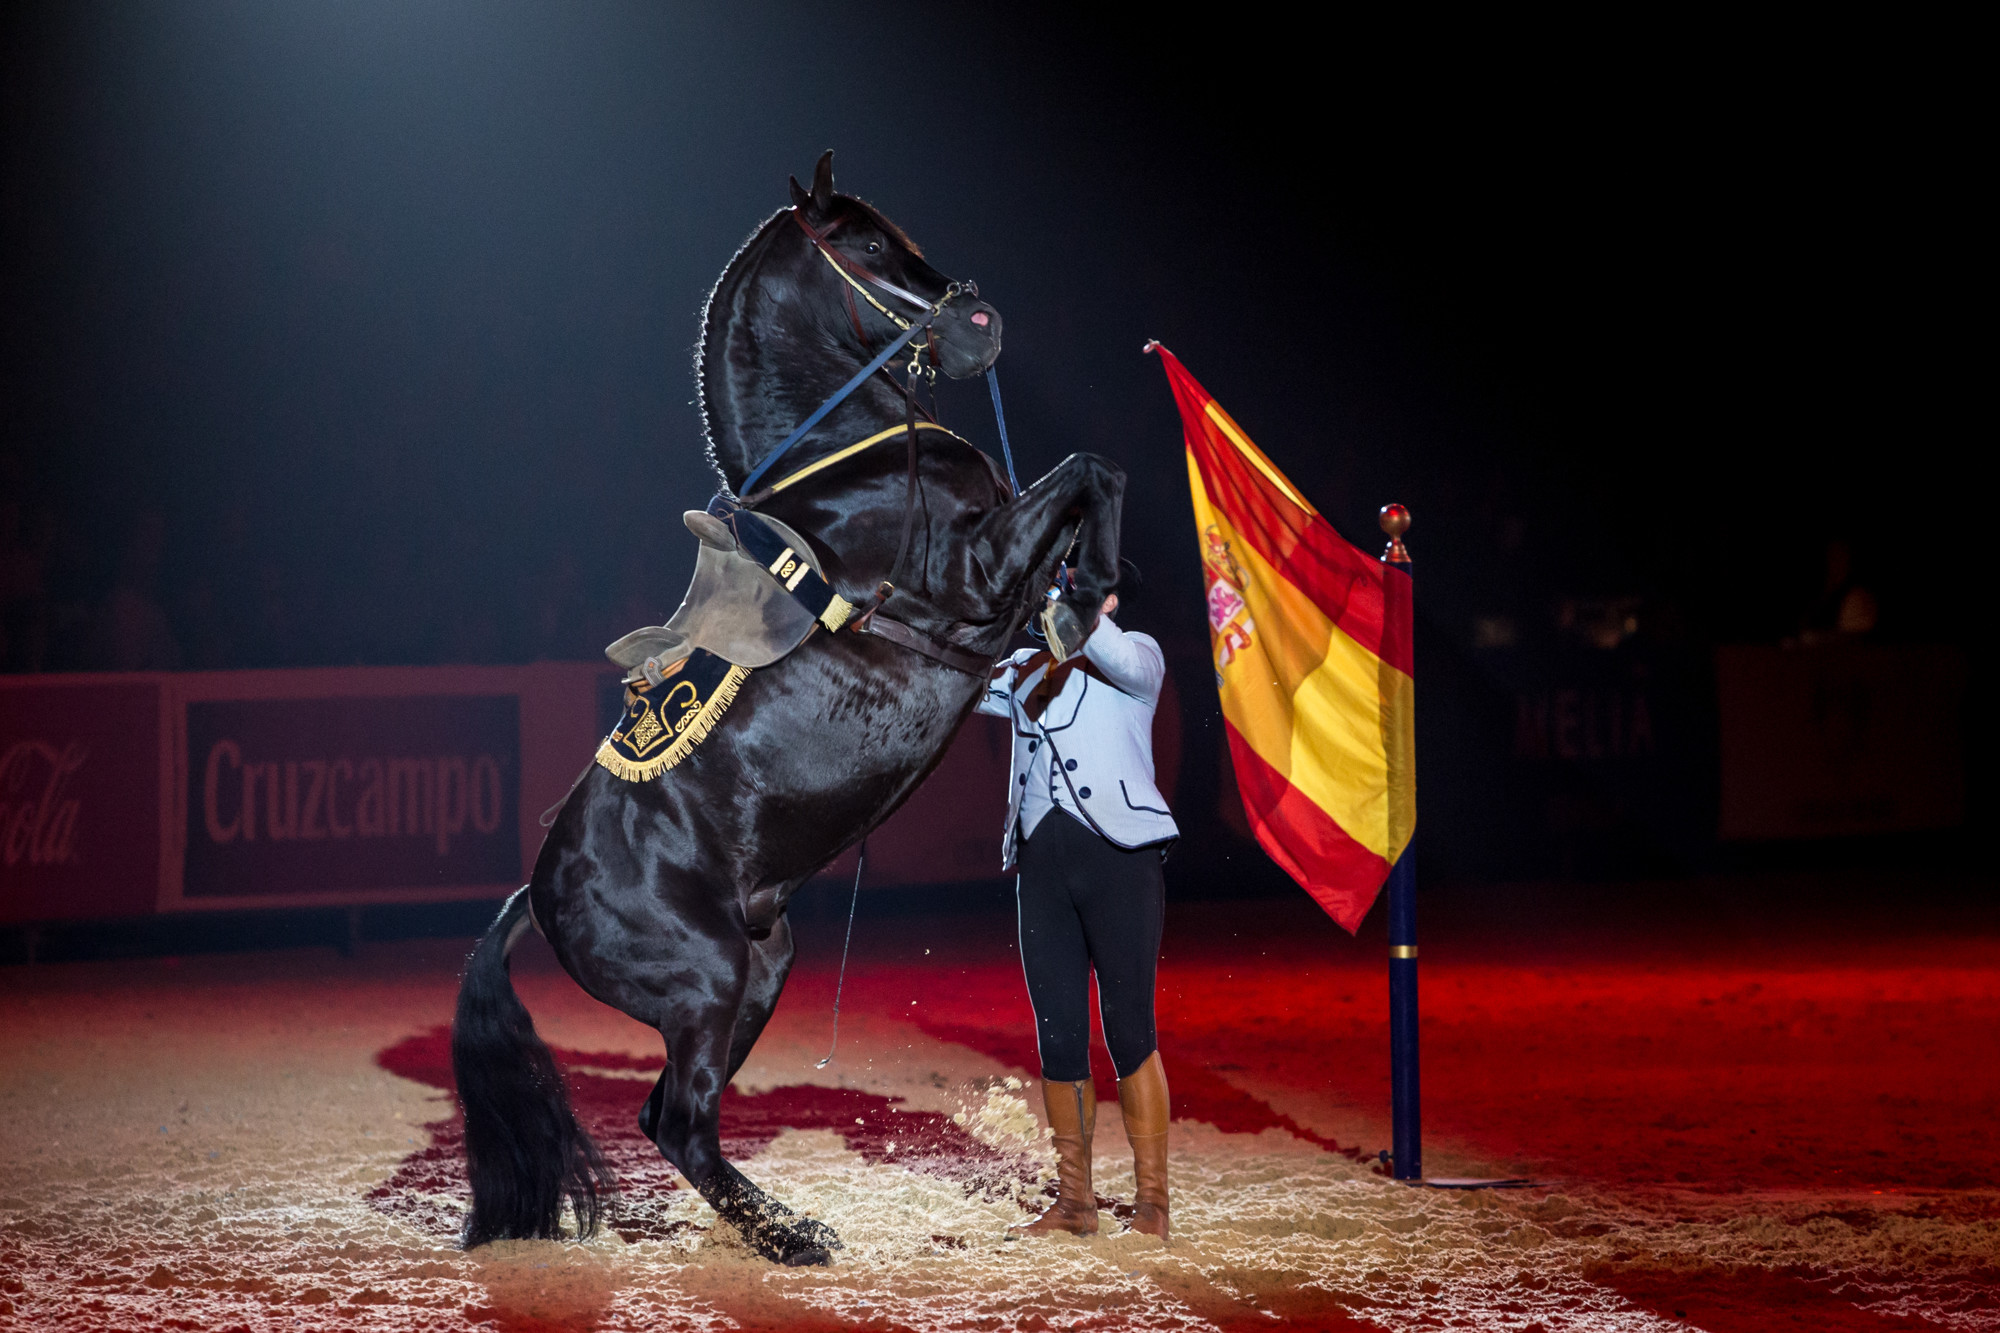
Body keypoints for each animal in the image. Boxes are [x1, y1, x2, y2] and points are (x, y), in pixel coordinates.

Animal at [456, 150, 1136, 1264]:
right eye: (863, 244)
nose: (980, 321)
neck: (858, 467)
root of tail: (536, 892)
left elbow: (1086, 488)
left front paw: (1082, 599)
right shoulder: (974, 576)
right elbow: (1089, 470)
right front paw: (1087, 595)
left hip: (758, 967)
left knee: (667, 1116)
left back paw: (769, 1228)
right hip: (708, 976)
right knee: (680, 1123)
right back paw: (794, 1235)